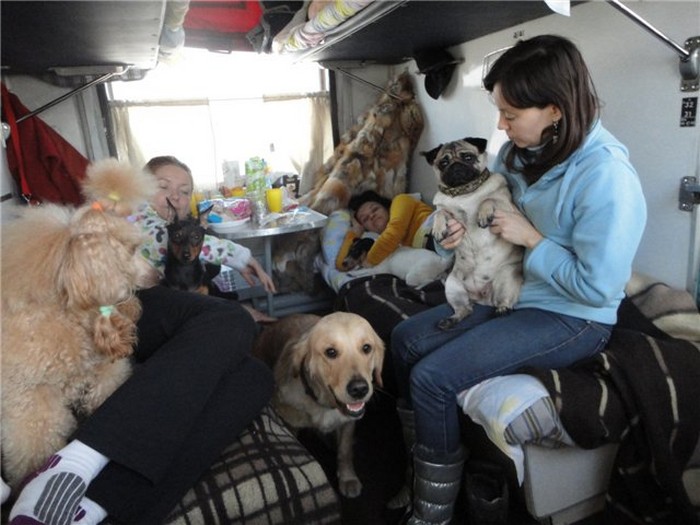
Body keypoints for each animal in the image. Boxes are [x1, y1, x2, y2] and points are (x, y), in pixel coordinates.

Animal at [253, 312, 384, 498]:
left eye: (366, 348)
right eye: (331, 352)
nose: (359, 389)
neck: (324, 403)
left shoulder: (348, 424)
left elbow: (345, 451)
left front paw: (348, 478)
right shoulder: (291, 423)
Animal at [423, 137, 524, 329]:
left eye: (468, 157)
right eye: (443, 163)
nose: (455, 166)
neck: (464, 193)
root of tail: (481, 298)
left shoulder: (509, 209)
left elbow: (489, 199)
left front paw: (483, 213)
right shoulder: (446, 211)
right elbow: (440, 212)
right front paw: (438, 228)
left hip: (506, 278)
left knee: (504, 301)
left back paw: (502, 309)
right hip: (453, 287)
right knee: (465, 310)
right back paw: (450, 321)